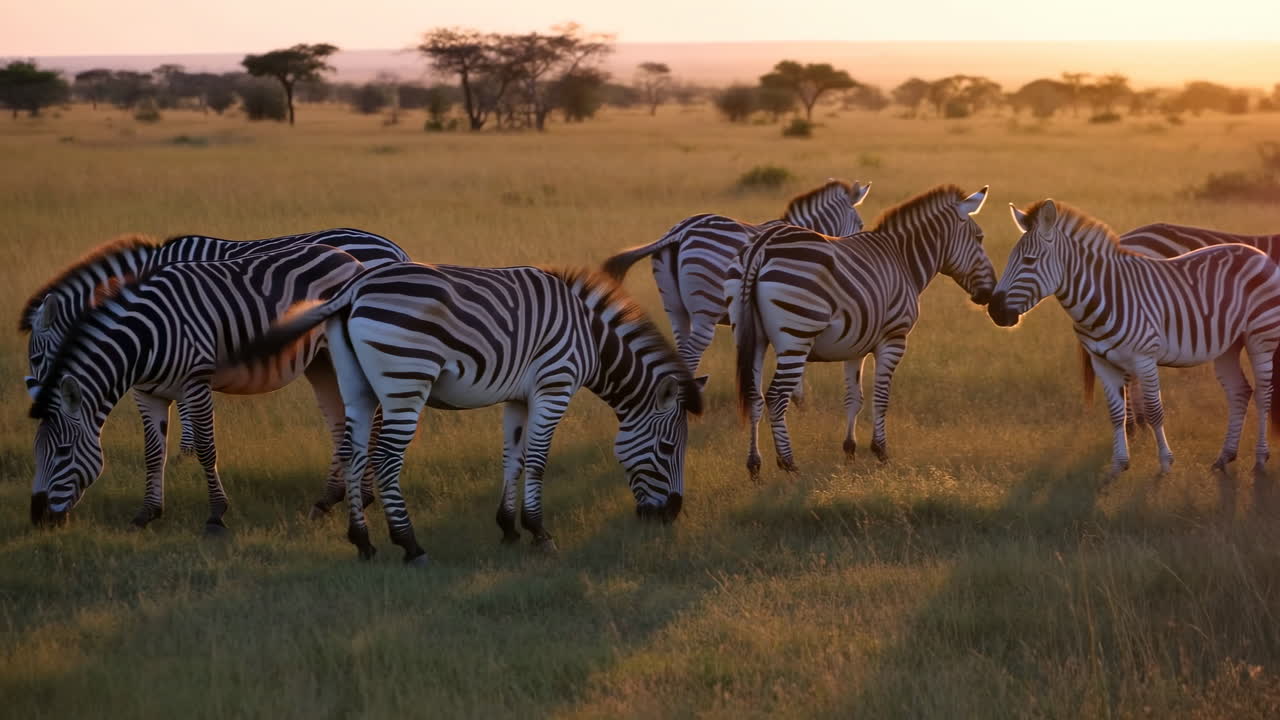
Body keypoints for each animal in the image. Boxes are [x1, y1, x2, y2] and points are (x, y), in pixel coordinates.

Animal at [21, 228, 409, 526]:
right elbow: (156, 448)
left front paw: (190, 460)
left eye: (37, 356)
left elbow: (196, 431)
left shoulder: (193, 370)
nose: (38, 518)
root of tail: (392, 248)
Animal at [232, 262, 706, 564]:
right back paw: (410, 546)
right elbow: (537, 461)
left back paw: (362, 542)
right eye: (668, 448)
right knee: (385, 460)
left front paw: (508, 528)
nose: (671, 515)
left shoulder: (519, 396)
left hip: (356, 386)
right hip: (406, 380)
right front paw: (539, 533)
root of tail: (353, 289)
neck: (591, 337)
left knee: (353, 454)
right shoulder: (554, 385)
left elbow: (513, 459)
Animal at [727, 185, 993, 479]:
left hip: (752, 337)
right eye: (979, 238)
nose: (990, 293)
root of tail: (761, 247)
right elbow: (881, 397)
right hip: (796, 336)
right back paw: (789, 464)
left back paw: (754, 466)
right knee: (775, 398)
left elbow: (854, 398)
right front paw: (881, 452)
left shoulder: (855, 345)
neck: (903, 261)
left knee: (754, 396)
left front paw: (849, 451)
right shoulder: (893, 339)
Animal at [988, 200, 1280, 478]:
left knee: (1263, 394)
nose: (994, 310)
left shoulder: (1144, 358)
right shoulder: (1102, 362)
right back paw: (1224, 457)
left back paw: (1260, 459)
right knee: (1239, 391)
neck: (1103, 296)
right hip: (1228, 345)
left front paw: (1165, 464)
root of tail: (1255, 253)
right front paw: (1118, 465)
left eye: (1029, 261)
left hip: (1260, 337)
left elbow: (1154, 410)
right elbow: (1115, 414)